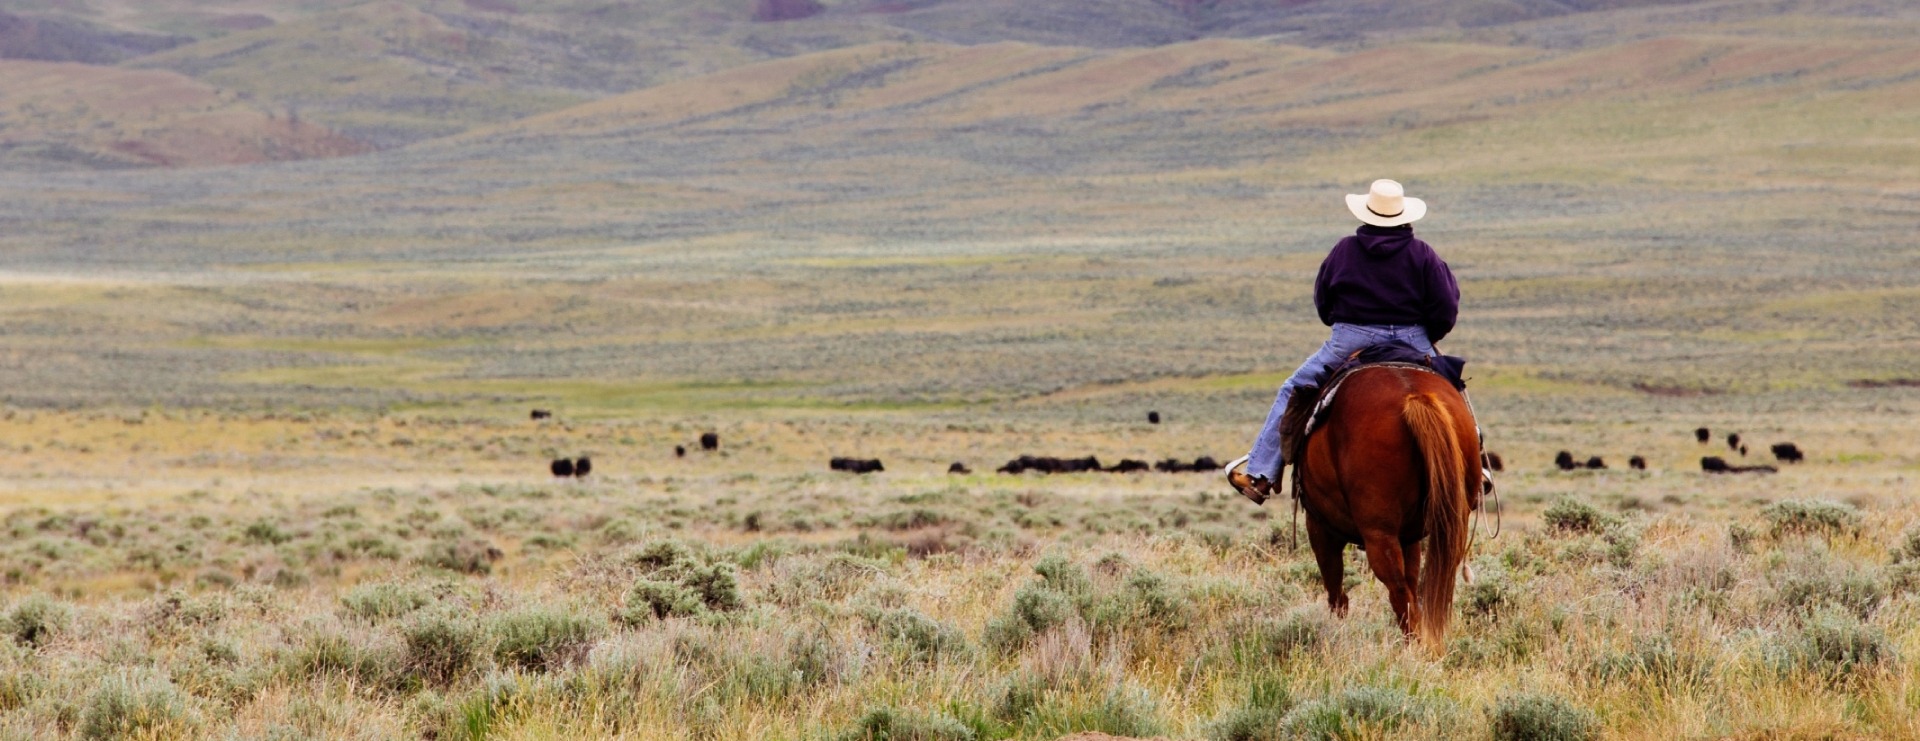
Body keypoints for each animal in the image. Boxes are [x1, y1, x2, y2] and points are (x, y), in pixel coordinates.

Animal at [1236, 364, 1474, 648]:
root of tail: (1414, 397)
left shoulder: (1320, 526)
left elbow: (1335, 587)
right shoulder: (1409, 537)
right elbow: (1413, 577)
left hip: (1377, 533)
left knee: (1397, 592)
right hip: (1450, 525)